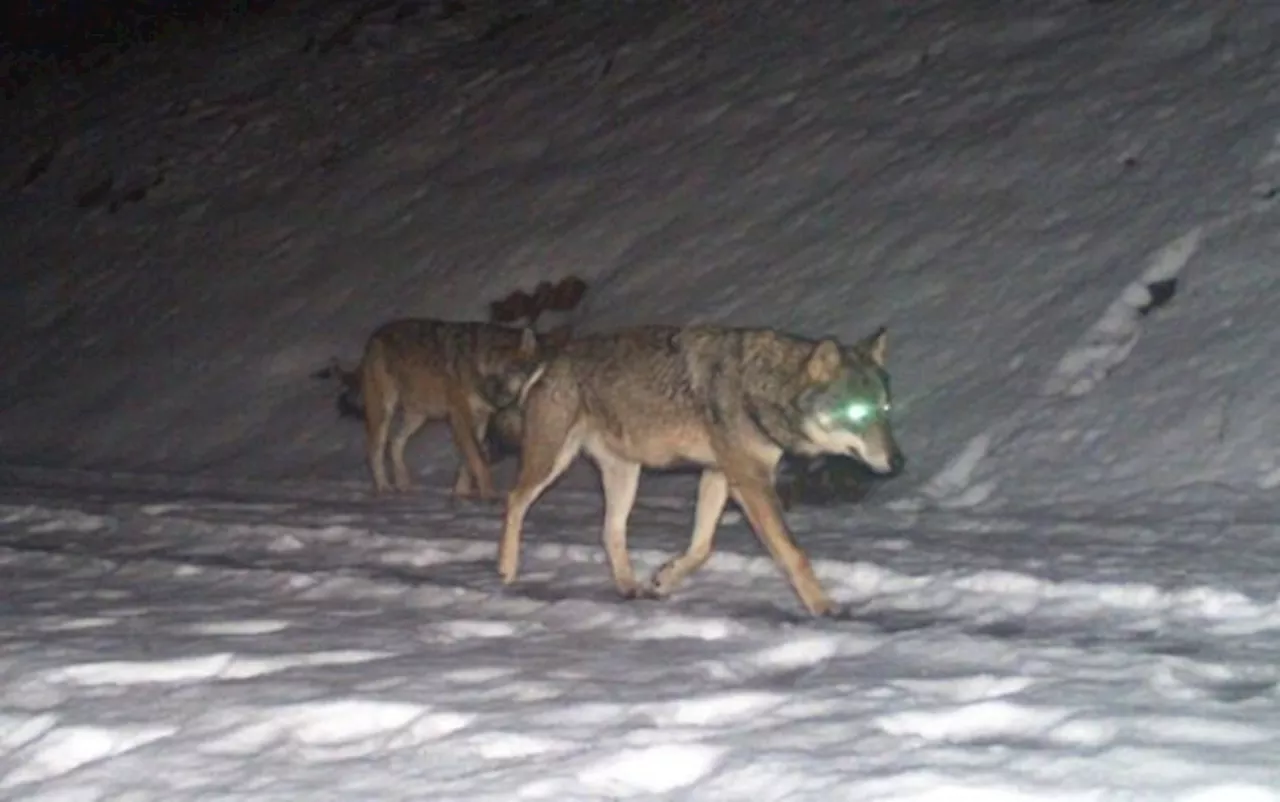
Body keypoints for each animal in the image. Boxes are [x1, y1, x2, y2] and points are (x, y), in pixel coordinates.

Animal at [322, 319, 547, 501]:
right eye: (532, 380)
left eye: (511, 374)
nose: (497, 399)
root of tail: (373, 338)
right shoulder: (460, 417)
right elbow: (478, 459)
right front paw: (489, 494)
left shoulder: (480, 420)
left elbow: (468, 462)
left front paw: (461, 493)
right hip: (384, 413)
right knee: (375, 451)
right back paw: (384, 487)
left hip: (418, 417)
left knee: (395, 443)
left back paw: (403, 483)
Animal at [494, 323, 906, 619]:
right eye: (857, 413)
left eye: (885, 409)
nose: (899, 462)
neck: (764, 384)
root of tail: (551, 359)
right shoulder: (751, 482)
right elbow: (793, 552)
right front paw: (824, 607)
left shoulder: (718, 475)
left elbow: (702, 547)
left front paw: (664, 579)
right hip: (552, 463)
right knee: (514, 499)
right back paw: (506, 571)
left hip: (626, 476)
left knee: (610, 531)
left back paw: (629, 586)